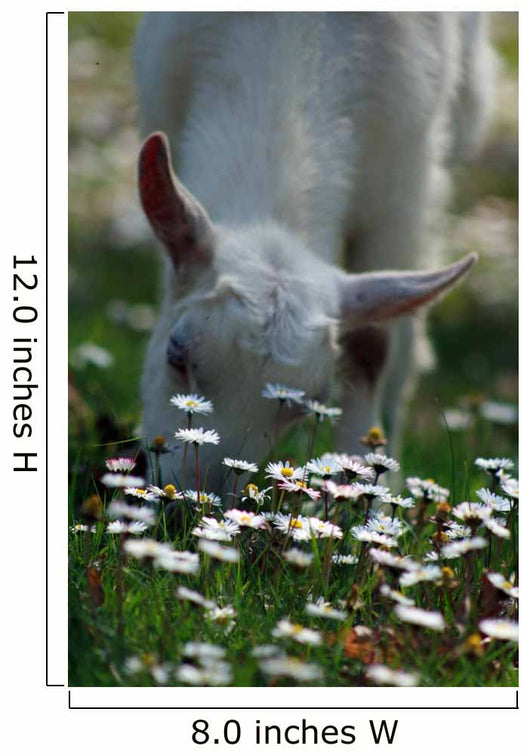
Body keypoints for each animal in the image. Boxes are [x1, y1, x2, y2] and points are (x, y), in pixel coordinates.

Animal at [134, 12, 492, 492]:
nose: (194, 500)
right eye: (175, 354)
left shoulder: (403, 191)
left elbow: (376, 350)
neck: (299, 40)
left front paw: (370, 485)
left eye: (310, 405)